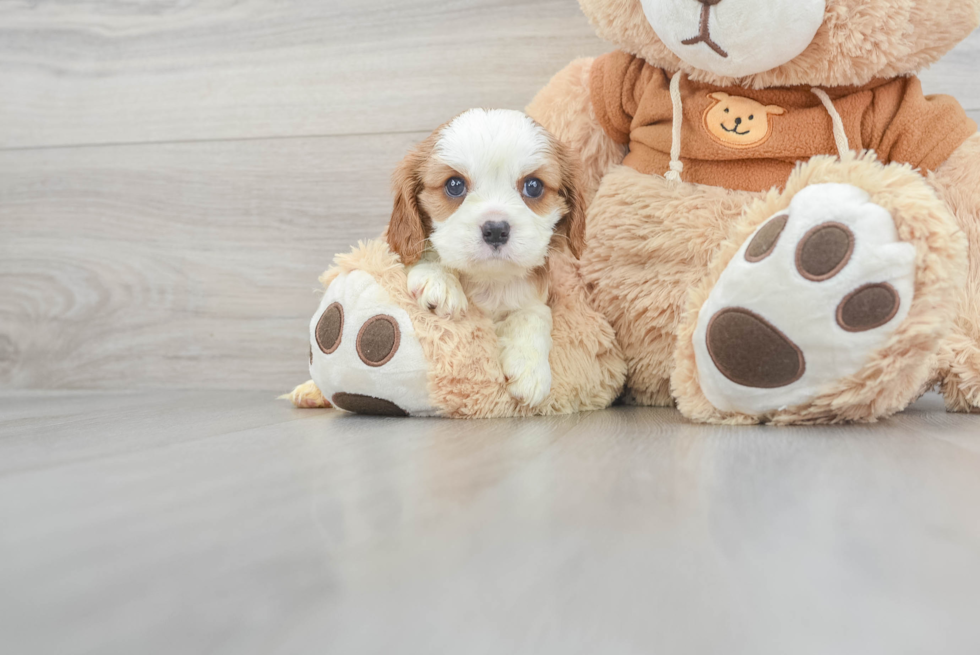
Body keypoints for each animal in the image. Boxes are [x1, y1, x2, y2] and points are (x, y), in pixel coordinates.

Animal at [382, 109, 580, 408]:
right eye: (454, 185)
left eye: (533, 186)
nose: (496, 229)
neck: (488, 282)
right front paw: (439, 280)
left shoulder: (537, 297)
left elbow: (535, 314)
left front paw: (530, 369)